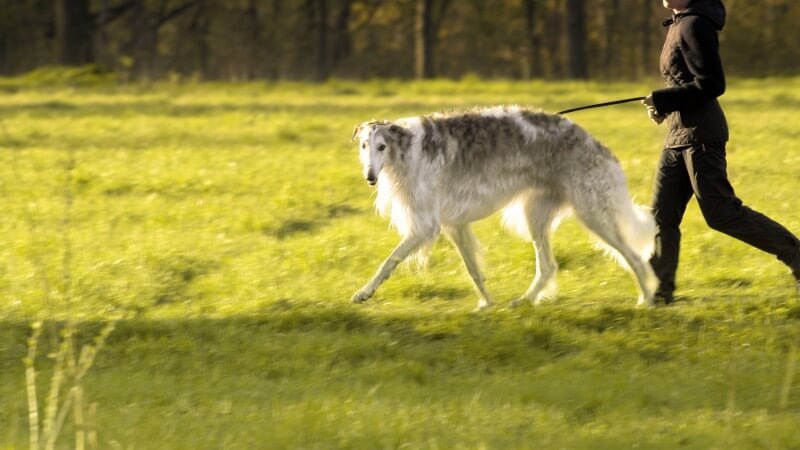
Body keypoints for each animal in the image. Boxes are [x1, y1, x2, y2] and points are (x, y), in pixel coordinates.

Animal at [354, 105, 660, 310]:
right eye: (364, 145)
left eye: (382, 147)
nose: (370, 177)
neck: (407, 149)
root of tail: (597, 144)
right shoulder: (454, 225)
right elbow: (474, 270)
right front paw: (487, 304)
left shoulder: (427, 225)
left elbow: (389, 260)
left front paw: (364, 292)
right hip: (535, 215)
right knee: (548, 266)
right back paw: (524, 300)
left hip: (593, 214)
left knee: (635, 257)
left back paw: (646, 300)